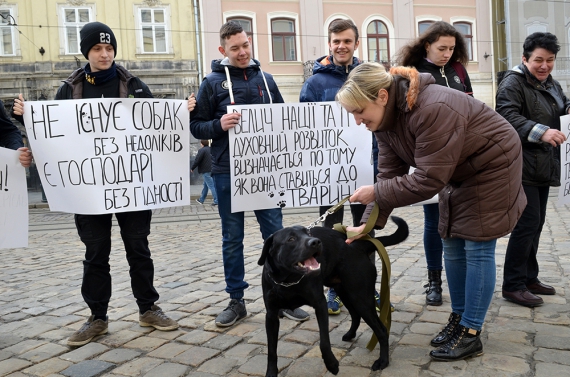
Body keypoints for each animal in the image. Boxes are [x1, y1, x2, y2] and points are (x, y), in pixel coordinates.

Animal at [258, 216, 408, 374]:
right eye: (291, 239)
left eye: (309, 233)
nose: (316, 242)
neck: (289, 281)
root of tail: (357, 245)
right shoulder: (271, 316)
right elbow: (272, 350)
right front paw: (271, 372)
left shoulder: (320, 305)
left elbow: (324, 341)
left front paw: (331, 364)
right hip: (346, 293)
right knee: (356, 315)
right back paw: (350, 334)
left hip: (361, 298)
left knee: (382, 330)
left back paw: (383, 361)